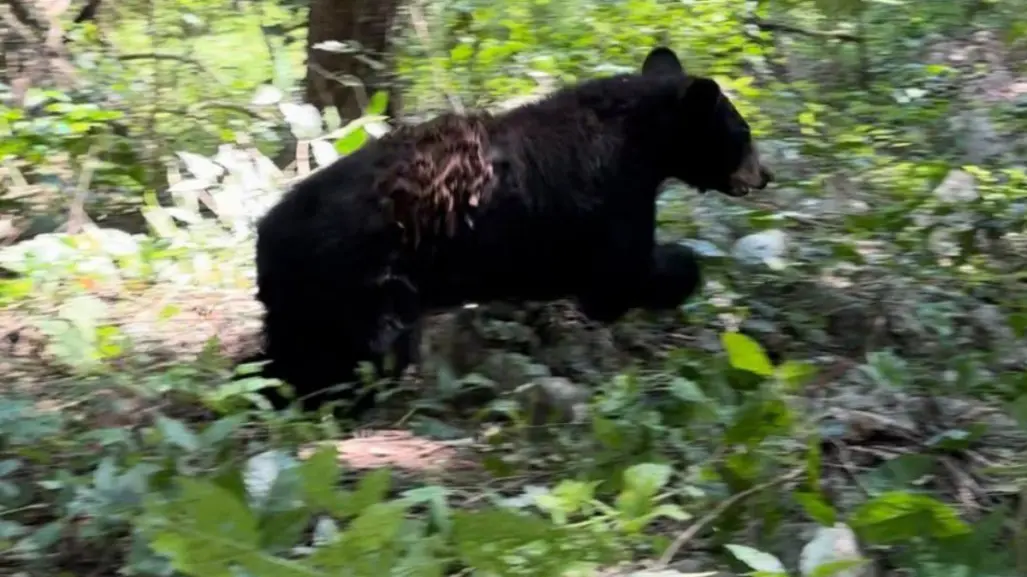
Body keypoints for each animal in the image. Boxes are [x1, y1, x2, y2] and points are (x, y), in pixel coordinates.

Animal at [244, 47, 772, 410]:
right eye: (743, 133)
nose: (766, 175)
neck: (639, 138)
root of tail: (267, 236)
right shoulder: (612, 201)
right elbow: (620, 276)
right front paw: (679, 271)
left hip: (306, 301)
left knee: (289, 353)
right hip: (361, 286)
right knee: (361, 353)